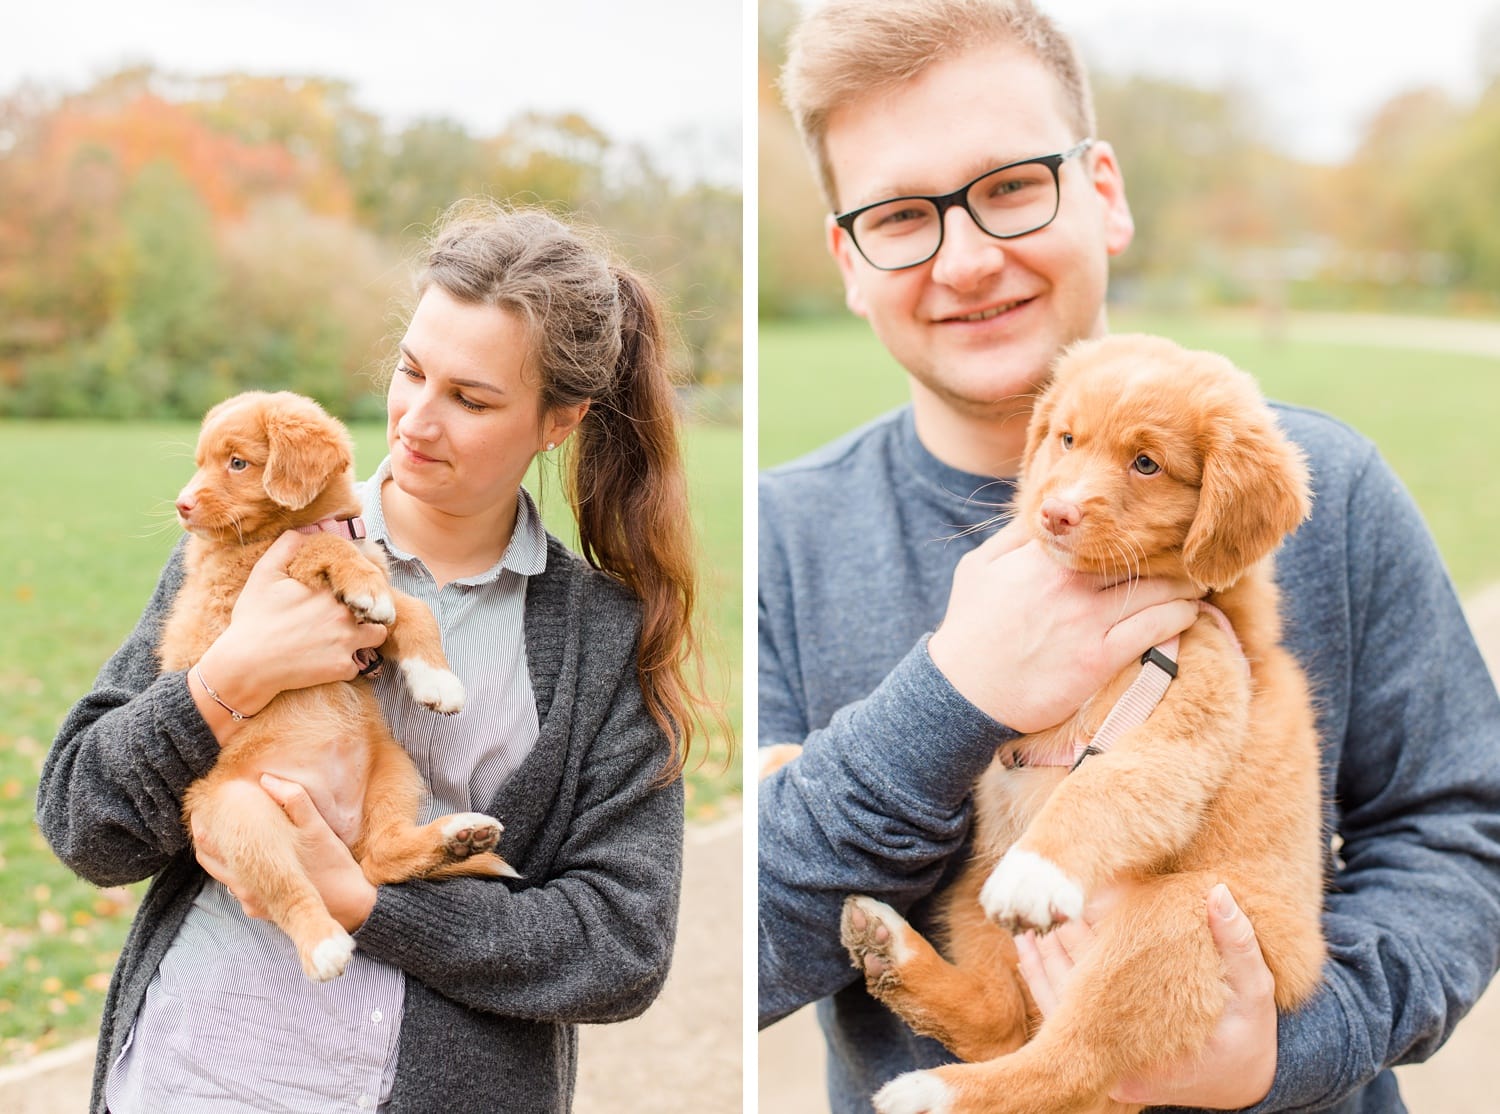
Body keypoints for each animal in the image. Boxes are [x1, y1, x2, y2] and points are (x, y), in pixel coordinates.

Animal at [161, 392, 519, 983]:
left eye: (236, 463)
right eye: (201, 462)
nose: (181, 506)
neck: (307, 521)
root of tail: (340, 836)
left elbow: (411, 609)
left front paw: (437, 680)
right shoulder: (246, 582)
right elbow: (317, 555)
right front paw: (361, 584)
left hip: (394, 768)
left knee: (385, 856)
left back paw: (456, 838)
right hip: (240, 812)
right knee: (287, 885)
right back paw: (323, 944)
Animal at [846, 335, 1326, 1114]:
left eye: (1146, 463)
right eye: (1066, 439)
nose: (1055, 514)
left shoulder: (1182, 717)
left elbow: (1099, 787)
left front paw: (1037, 869)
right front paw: (778, 757)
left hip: (1178, 923)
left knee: (1066, 1058)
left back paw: (935, 1091)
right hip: (971, 895)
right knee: (1001, 1020)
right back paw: (891, 955)